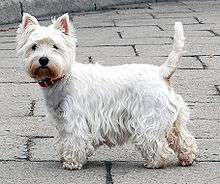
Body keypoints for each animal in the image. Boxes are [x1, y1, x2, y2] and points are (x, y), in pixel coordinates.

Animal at [15, 12, 198, 170]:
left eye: (55, 46)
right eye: (34, 47)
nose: (43, 60)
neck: (61, 78)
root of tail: (161, 72)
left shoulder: (75, 119)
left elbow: (75, 140)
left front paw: (72, 162)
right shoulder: (61, 120)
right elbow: (64, 140)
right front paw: (64, 156)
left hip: (149, 117)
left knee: (156, 143)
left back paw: (154, 163)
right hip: (174, 119)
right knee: (183, 138)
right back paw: (186, 159)